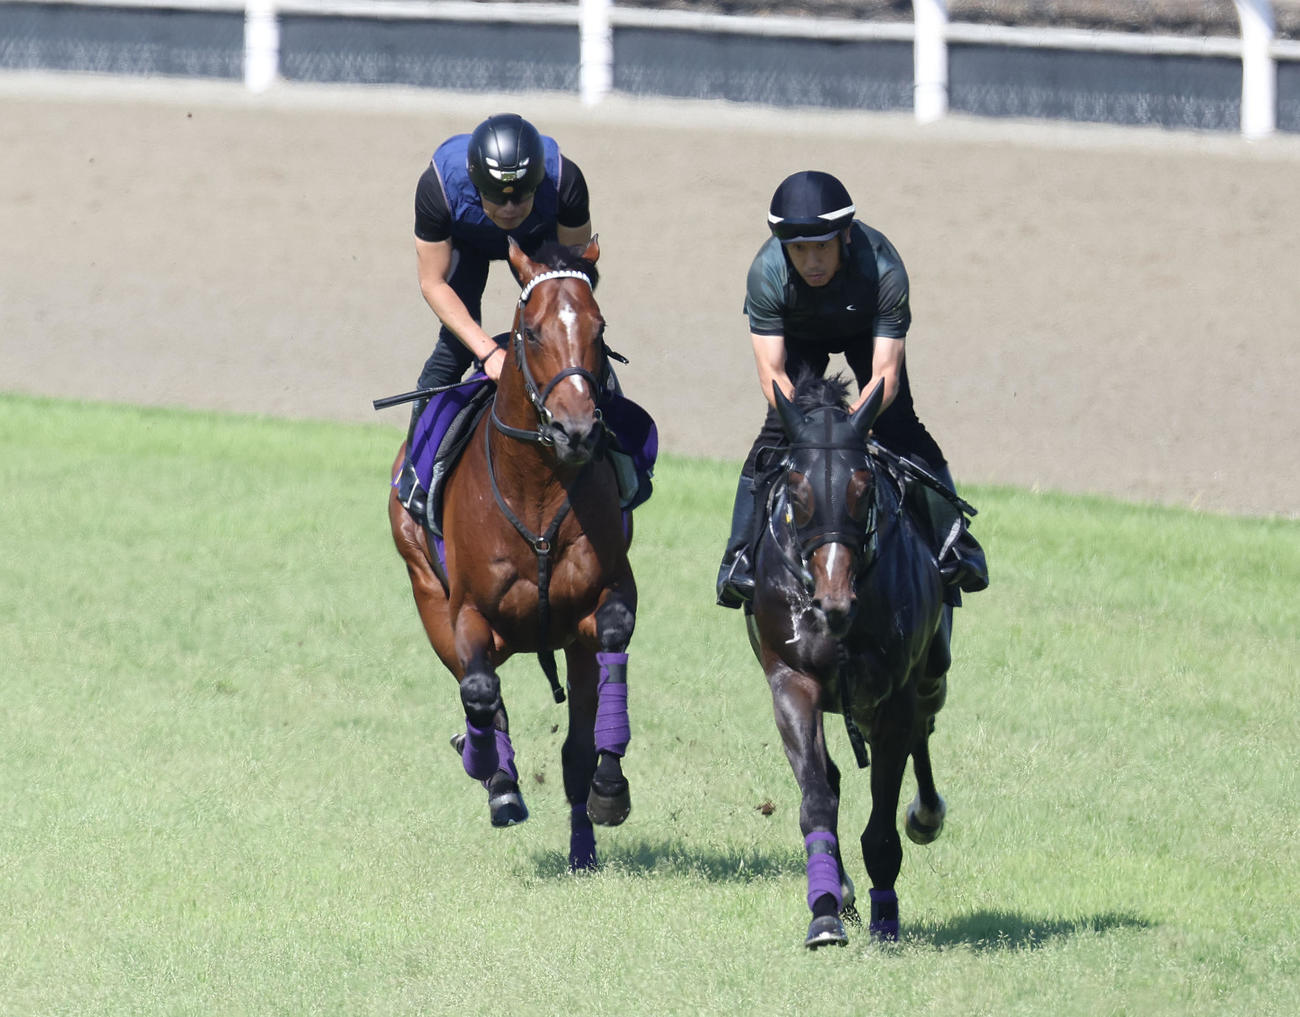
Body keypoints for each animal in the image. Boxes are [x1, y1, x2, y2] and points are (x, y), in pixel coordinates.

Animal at [389, 237, 637, 872]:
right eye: (532, 331)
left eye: (600, 328)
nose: (577, 429)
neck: (537, 487)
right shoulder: (466, 612)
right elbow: (478, 691)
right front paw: (492, 774)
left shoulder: (601, 601)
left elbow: (612, 639)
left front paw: (609, 789)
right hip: (427, 589)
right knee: (477, 688)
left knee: (575, 749)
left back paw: (583, 846)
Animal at [745, 374, 952, 948]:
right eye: (796, 489)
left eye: (863, 488)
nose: (833, 601)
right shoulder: (791, 683)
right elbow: (817, 798)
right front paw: (825, 911)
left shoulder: (895, 694)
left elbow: (881, 820)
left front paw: (886, 919)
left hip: (930, 675)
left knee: (924, 731)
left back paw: (927, 815)